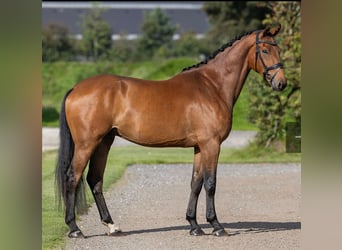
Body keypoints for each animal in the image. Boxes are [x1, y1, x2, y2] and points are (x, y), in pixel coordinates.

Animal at [55, 23, 286, 238]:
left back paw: (111, 225)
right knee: (72, 177)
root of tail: (76, 89)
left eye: (279, 49)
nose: (281, 83)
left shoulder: (200, 147)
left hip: (104, 142)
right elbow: (210, 183)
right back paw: (75, 229)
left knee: (95, 180)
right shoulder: (211, 144)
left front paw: (194, 226)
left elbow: (196, 183)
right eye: (265, 50)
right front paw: (216, 225)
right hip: (87, 144)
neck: (213, 86)